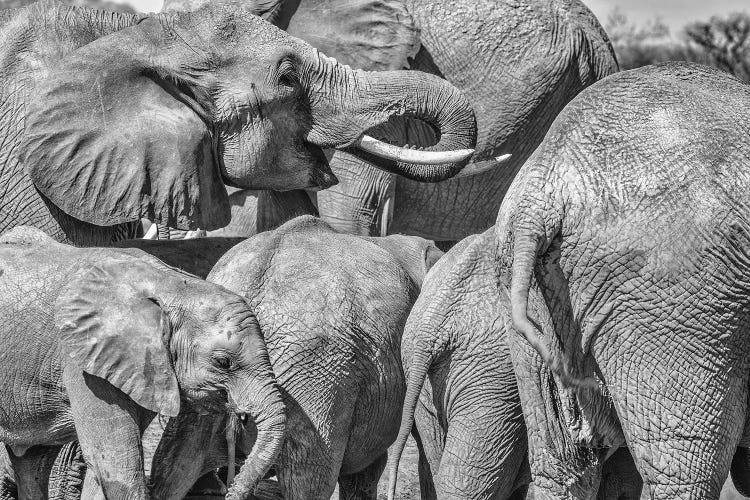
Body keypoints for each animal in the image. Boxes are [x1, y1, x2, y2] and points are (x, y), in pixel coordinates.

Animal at [0, 228, 284, 500]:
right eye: (223, 362)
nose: (229, 489)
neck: (173, 285)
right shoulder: (81, 361)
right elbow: (117, 466)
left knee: (32, 463)